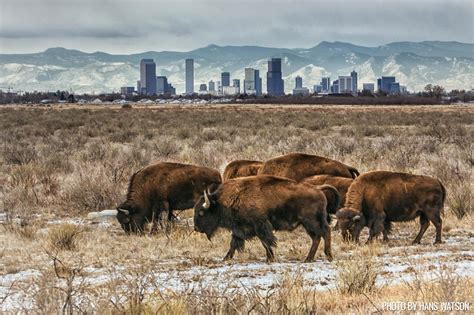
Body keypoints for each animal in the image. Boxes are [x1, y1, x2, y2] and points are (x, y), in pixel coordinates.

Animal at [193, 177, 334, 262]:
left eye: (201, 212)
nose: (196, 228)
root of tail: (318, 189)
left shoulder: (260, 226)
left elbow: (265, 242)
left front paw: (270, 258)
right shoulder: (239, 229)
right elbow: (234, 244)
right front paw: (226, 258)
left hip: (312, 222)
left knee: (325, 232)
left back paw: (328, 256)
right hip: (307, 225)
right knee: (317, 237)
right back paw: (308, 259)